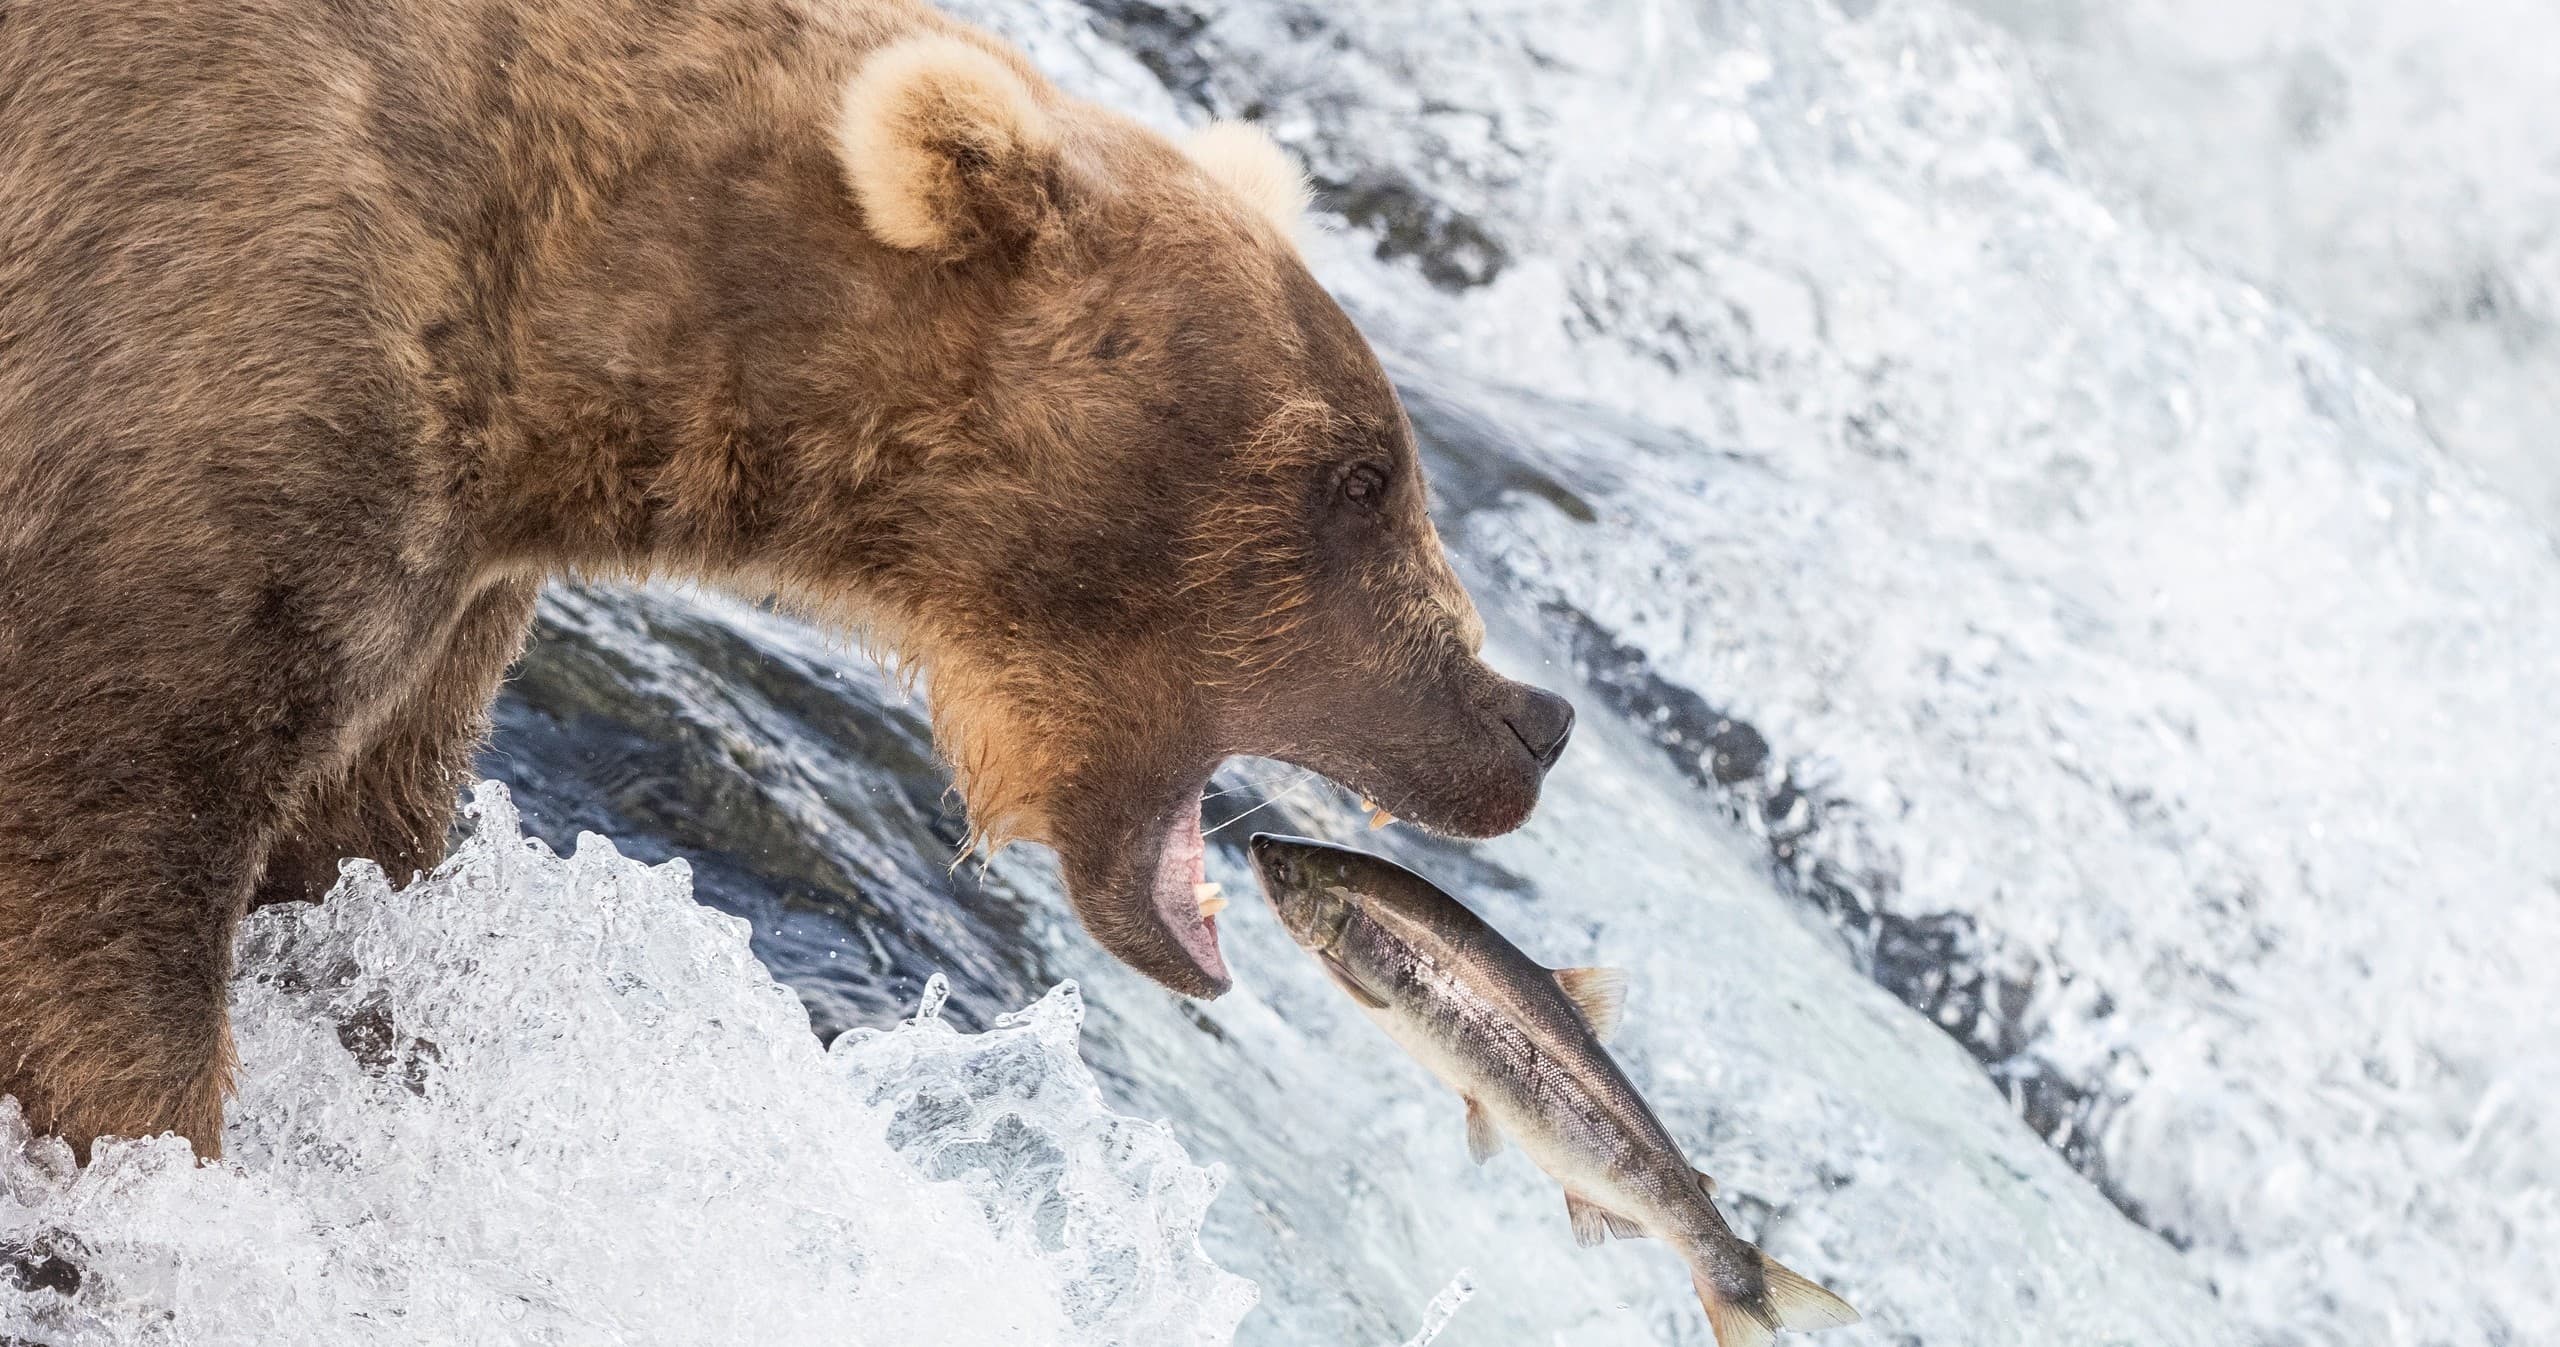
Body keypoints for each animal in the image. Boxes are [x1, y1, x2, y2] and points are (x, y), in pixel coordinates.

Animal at [0, 0, 1574, 1162]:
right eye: (1358, 474)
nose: (1529, 718)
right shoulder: (218, 349)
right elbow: (103, 879)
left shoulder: (437, 598)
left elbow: (348, 855)